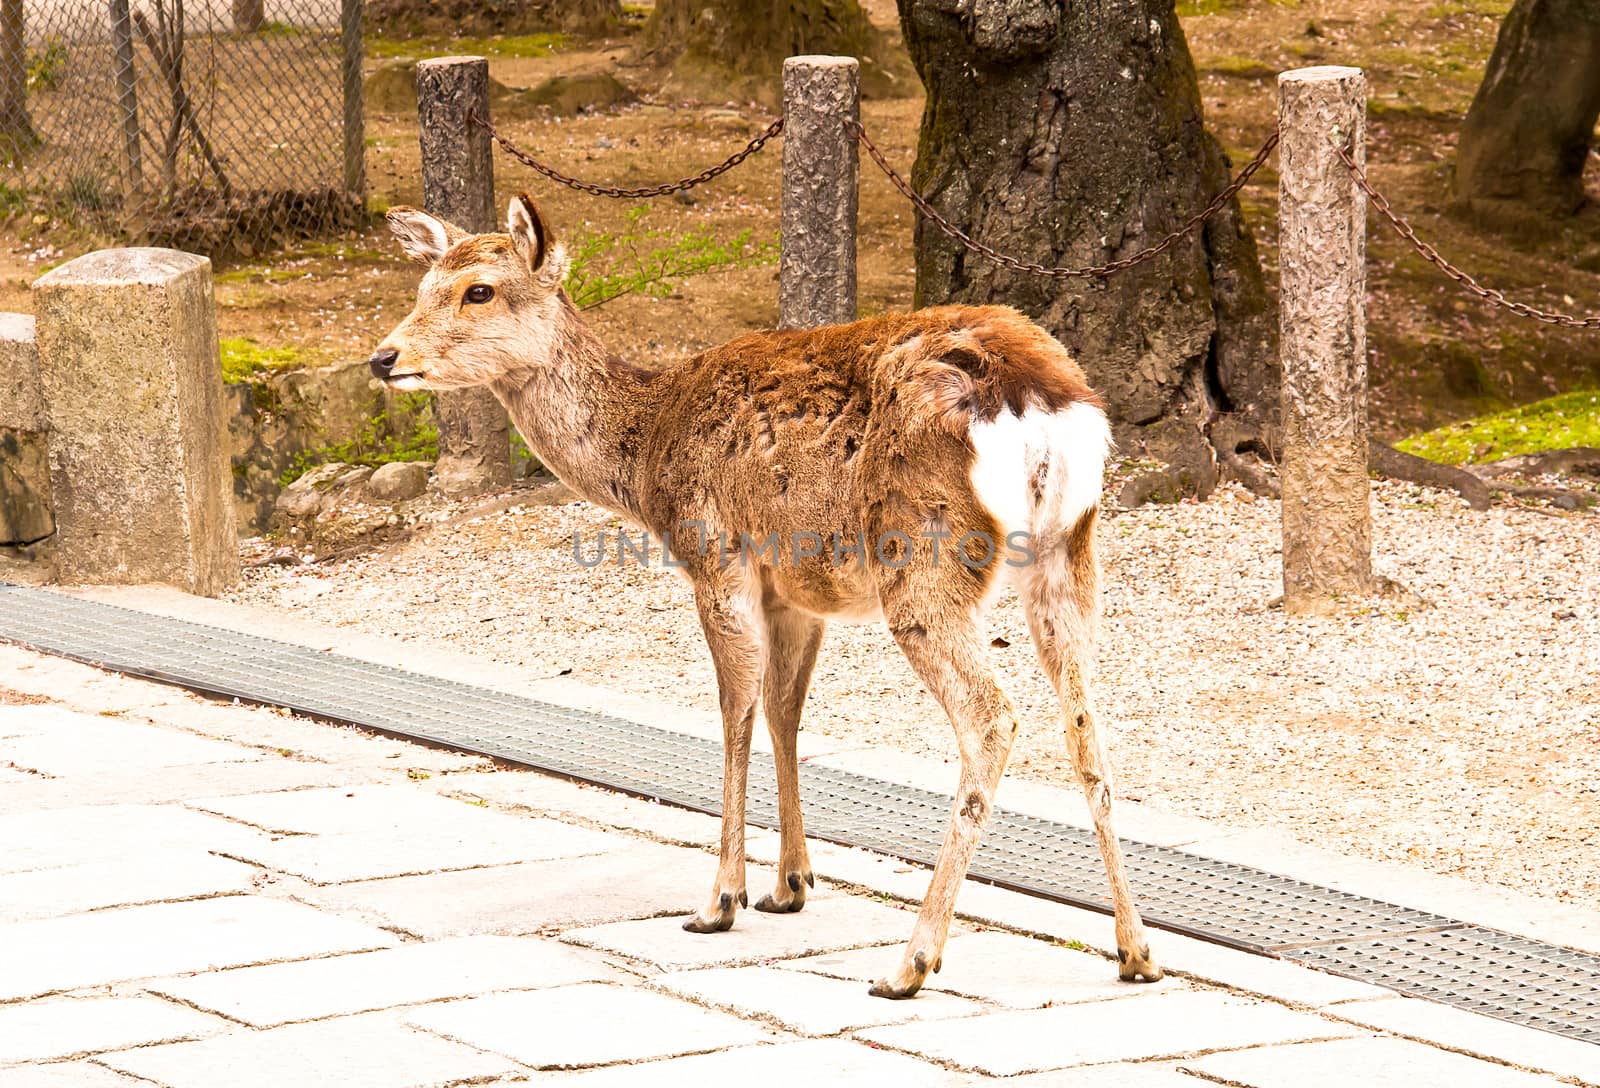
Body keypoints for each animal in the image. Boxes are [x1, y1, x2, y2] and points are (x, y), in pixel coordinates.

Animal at [368, 193, 1158, 992]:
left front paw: (721, 899)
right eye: (422, 286)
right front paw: (791, 885)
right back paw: (1136, 952)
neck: (646, 455)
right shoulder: (798, 592)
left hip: (925, 560)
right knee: (1086, 727)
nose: (384, 357)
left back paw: (911, 961)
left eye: (479, 290)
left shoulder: (718, 555)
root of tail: (1041, 404)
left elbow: (734, 711)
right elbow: (785, 711)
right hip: (1072, 551)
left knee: (993, 717)